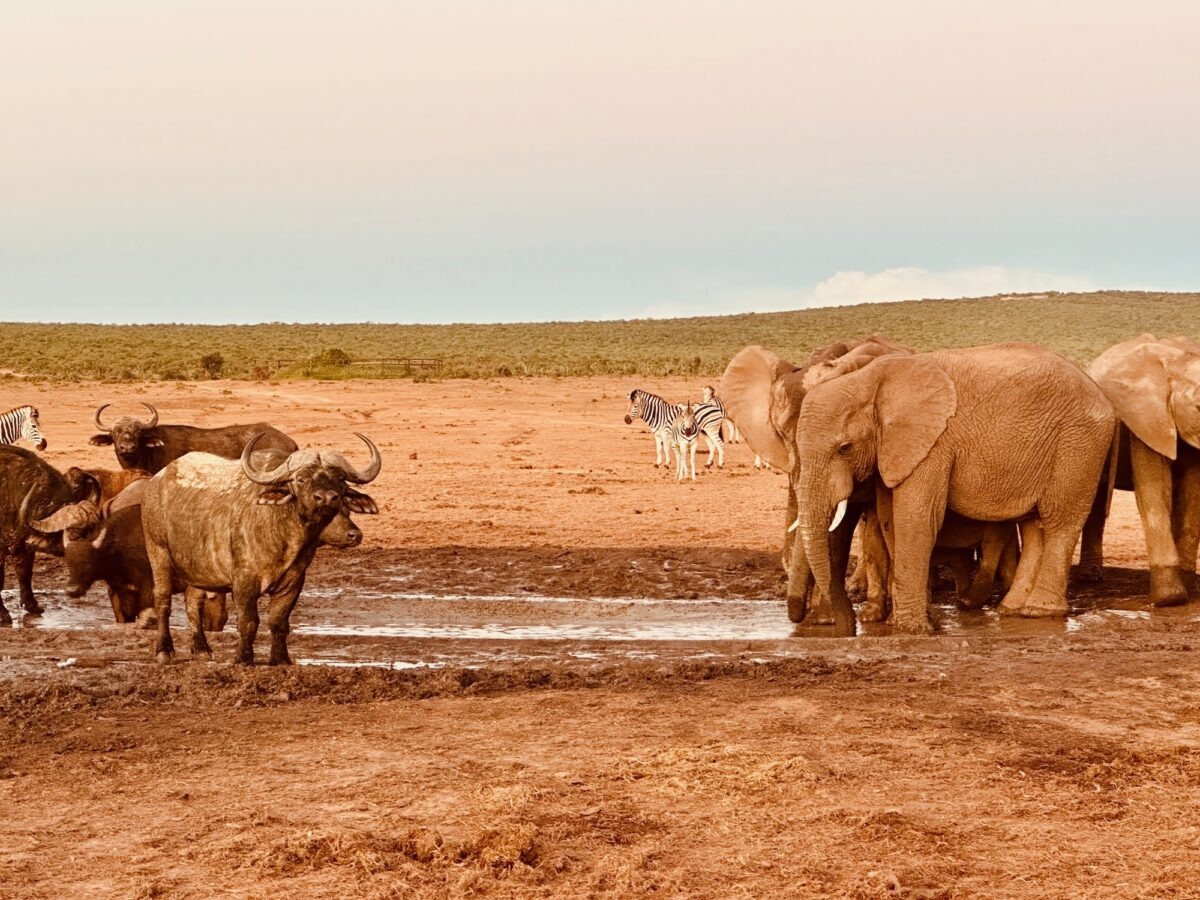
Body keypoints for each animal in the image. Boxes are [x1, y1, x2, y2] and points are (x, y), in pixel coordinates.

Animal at [793, 343, 1116, 635]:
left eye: (844, 448)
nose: (847, 629)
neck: (870, 379)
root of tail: (1100, 394)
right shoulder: (893, 449)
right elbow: (889, 522)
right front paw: (915, 623)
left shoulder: (933, 443)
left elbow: (917, 519)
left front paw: (913, 630)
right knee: (1034, 525)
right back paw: (1013, 609)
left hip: (1078, 443)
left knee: (1059, 521)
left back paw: (1038, 610)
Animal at [1082, 335, 1200, 605]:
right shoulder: (1144, 419)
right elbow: (1154, 489)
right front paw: (1170, 599)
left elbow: (1191, 494)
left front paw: (1189, 589)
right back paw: (1091, 577)